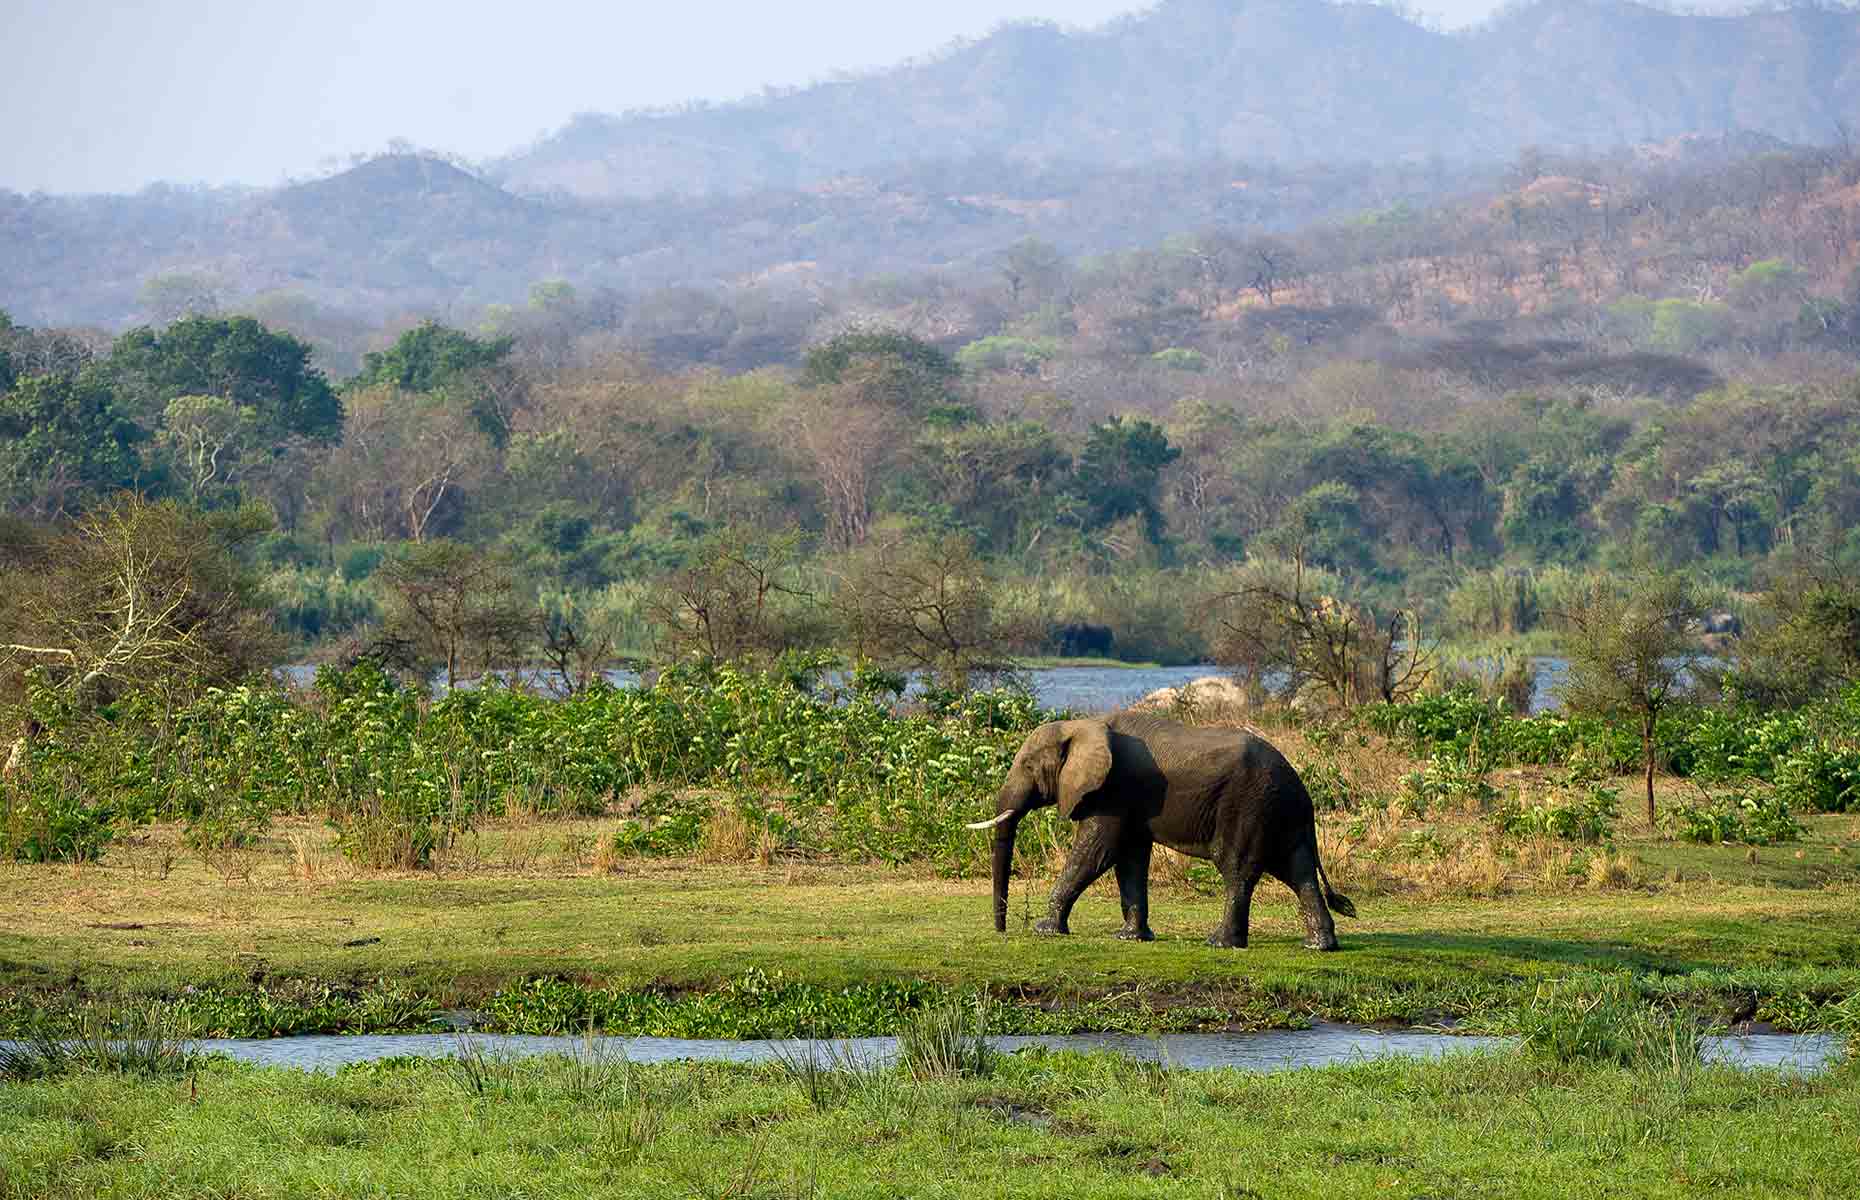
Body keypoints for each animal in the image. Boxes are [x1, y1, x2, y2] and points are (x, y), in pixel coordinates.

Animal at [974, 710, 1354, 945]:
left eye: (1027, 765)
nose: (1002, 930)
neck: (1083, 724)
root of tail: (1302, 791)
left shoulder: (1113, 790)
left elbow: (1097, 851)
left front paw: (1045, 931)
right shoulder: (1129, 802)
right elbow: (1129, 858)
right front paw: (1130, 938)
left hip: (1249, 805)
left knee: (1237, 867)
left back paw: (1219, 943)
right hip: (1277, 813)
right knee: (1297, 870)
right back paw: (1319, 945)